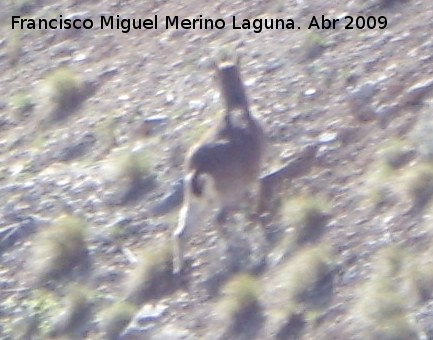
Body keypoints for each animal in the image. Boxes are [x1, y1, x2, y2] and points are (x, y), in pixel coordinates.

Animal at [170, 57, 264, 274]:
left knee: (181, 232)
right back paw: (235, 249)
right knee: (218, 220)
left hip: (197, 204)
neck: (238, 110)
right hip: (225, 197)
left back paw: (179, 268)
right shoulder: (251, 179)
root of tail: (198, 170)